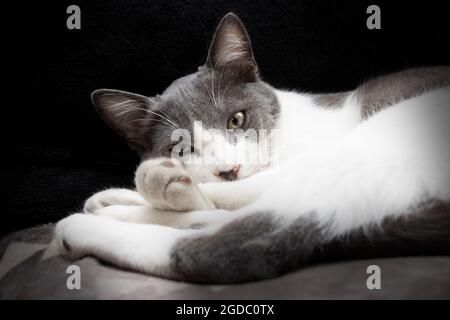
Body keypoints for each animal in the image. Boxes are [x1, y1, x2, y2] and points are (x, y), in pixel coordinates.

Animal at [48, 13, 450, 282]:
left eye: (236, 120)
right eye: (182, 148)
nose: (230, 169)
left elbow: (244, 194)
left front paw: (146, 190)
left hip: (383, 139)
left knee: (235, 244)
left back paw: (97, 218)